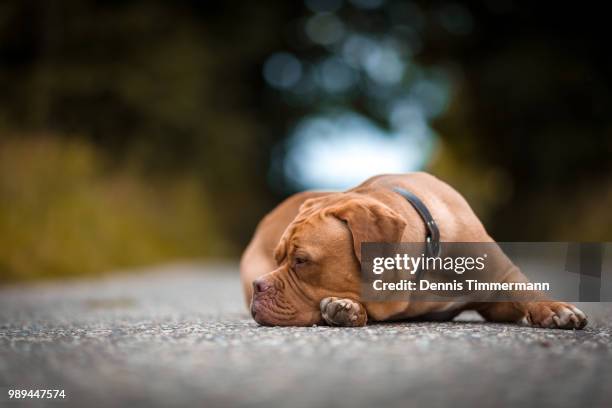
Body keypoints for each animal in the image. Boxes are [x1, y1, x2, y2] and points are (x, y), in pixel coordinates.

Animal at [239, 172, 588, 328]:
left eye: (301, 261)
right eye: (277, 259)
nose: (260, 286)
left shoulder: (501, 283)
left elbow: (526, 289)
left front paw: (555, 308)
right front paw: (344, 307)